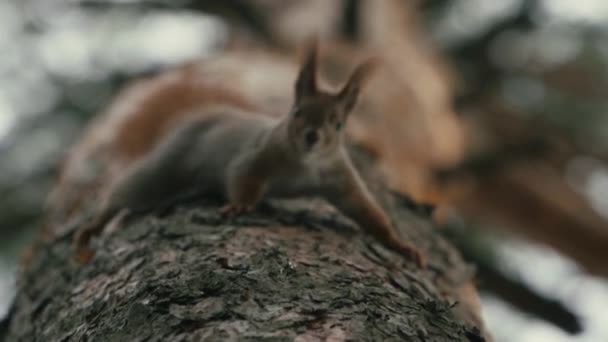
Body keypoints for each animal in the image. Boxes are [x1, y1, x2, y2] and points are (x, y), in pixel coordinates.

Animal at [72, 42, 422, 268]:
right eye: (297, 111)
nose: (312, 136)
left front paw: (402, 246)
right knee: (124, 192)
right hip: (166, 169)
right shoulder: (254, 156)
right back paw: (93, 226)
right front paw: (240, 205)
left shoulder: (340, 177)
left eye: (338, 123)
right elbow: (242, 177)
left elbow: (365, 210)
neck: (305, 163)